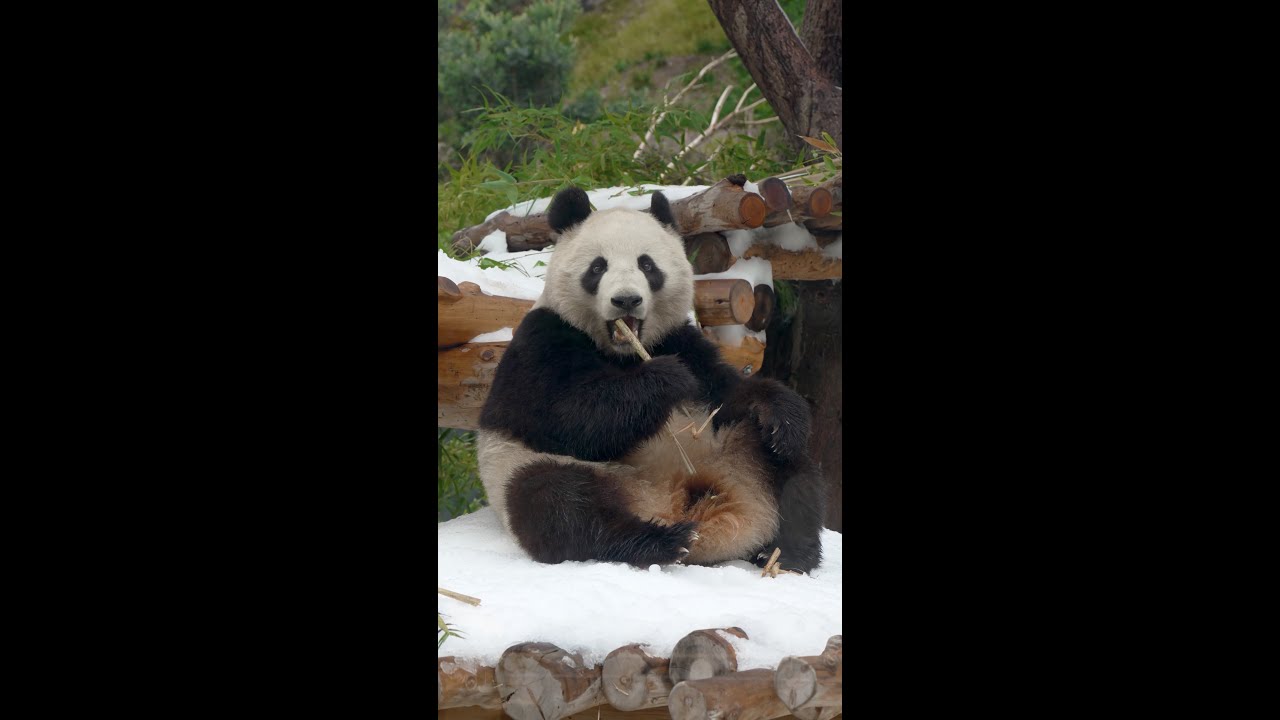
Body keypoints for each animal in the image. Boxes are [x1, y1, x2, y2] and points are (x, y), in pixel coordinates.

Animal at [476, 187, 826, 572]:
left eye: (647, 265)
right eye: (597, 267)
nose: (626, 299)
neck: (624, 352)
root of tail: (675, 504)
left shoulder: (682, 341)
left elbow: (729, 393)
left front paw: (779, 409)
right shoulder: (542, 340)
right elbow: (565, 416)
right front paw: (666, 378)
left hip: (735, 448)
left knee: (790, 469)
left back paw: (788, 551)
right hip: (528, 467)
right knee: (556, 503)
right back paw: (659, 542)